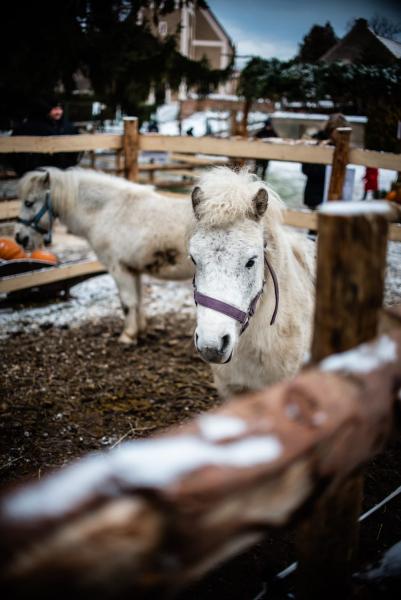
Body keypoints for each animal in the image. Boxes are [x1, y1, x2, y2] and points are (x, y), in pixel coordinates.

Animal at [16, 169, 195, 344]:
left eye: (28, 203)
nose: (19, 237)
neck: (110, 211)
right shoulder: (133, 270)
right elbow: (138, 300)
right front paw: (141, 330)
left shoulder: (119, 269)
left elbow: (127, 302)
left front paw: (128, 335)